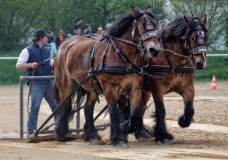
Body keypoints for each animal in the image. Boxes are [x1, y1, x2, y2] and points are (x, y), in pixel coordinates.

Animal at [52, 7, 159, 148]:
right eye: (141, 27)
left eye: (155, 26)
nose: (154, 50)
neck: (121, 54)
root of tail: (65, 44)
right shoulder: (110, 88)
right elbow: (114, 112)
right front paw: (119, 138)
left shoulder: (135, 88)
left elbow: (135, 114)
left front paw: (126, 128)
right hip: (65, 86)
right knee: (64, 107)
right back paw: (60, 132)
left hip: (92, 88)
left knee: (87, 109)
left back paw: (93, 135)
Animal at [119, 14, 208, 142]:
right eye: (192, 38)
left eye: (206, 37)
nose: (201, 63)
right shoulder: (157, 88)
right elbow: (161, 111)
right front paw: (163, 134)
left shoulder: (188, 87)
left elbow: (189, 110)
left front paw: (182, 121)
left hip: (144, 90)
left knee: (140, 108)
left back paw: (141, 132)